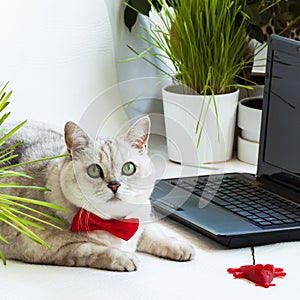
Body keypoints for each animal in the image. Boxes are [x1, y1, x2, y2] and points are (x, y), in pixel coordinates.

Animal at [0, 116, 195, 270]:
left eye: (129, 168)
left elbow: (154, 233)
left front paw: (179, 246)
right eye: (94, 170)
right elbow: (94, 249)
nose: (115, 185)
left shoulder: (141, 217)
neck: (114, 224)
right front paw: (124, 258)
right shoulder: (51, 248)